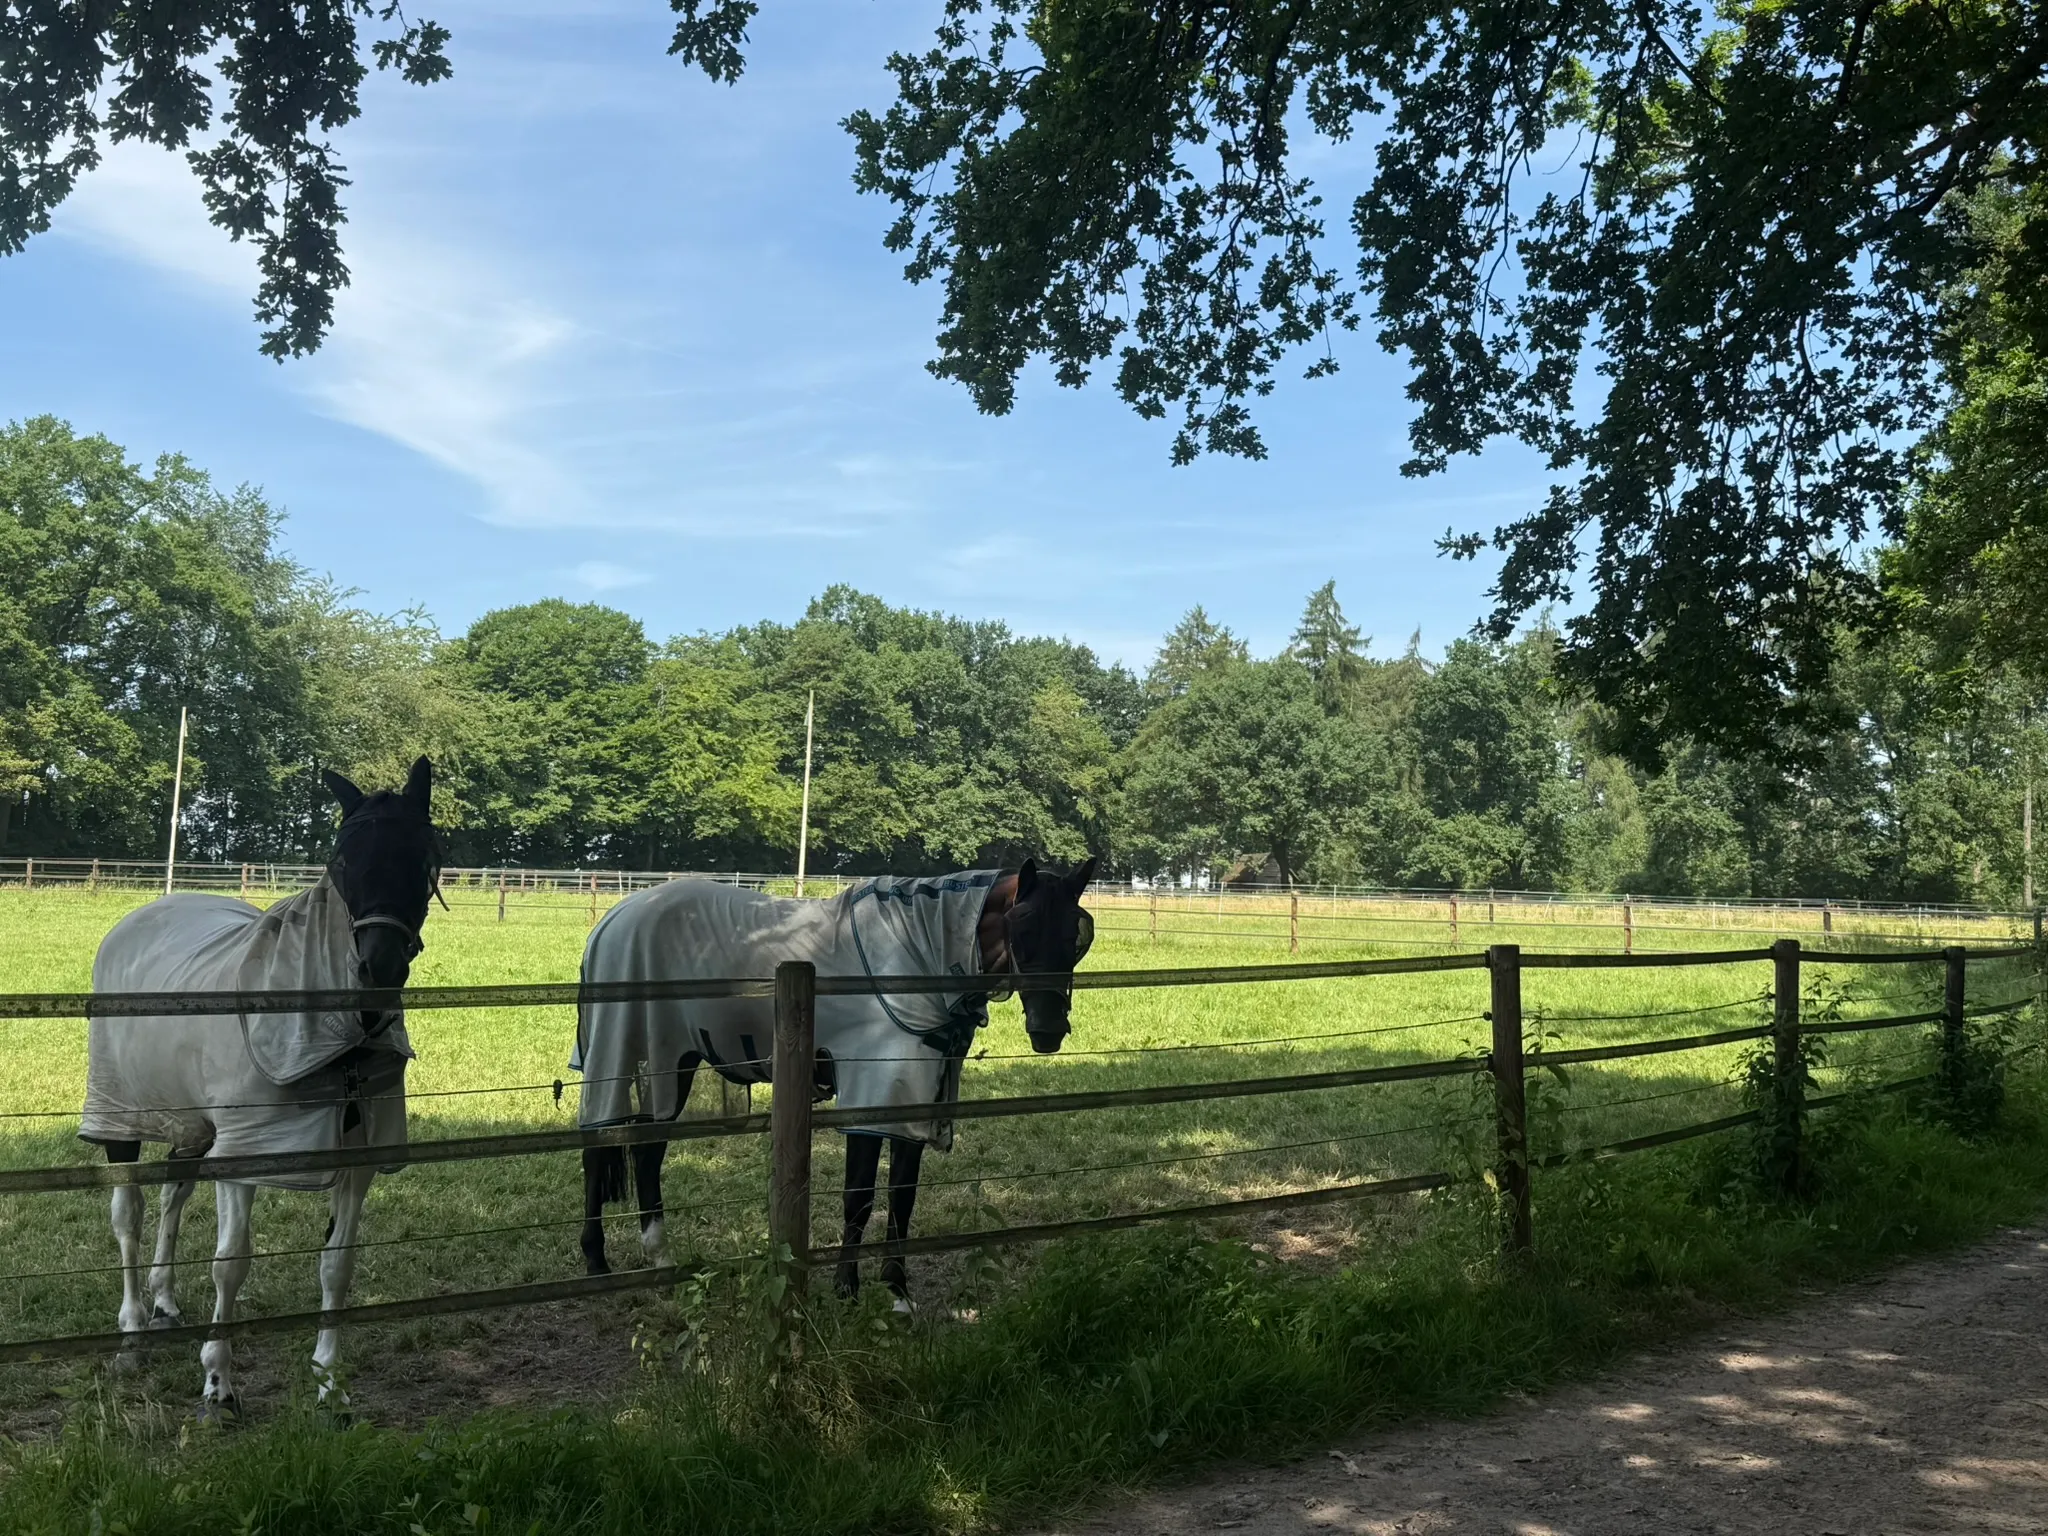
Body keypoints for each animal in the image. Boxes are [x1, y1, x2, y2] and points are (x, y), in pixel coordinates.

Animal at [80, 757, 440, 1421]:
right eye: (342, 860)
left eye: (424, 857)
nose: (378, 968)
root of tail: (139, 918)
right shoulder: (246, 1152)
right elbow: (231, 1264)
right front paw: (218, 1385)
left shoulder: (359, 1156)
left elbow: (337, 1264)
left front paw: (330, 1383)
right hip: (122, 1113)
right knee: (129, 1214)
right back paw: (132, 1333)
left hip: (194, 1124)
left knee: (172, 1195)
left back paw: (164, 1302)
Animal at [572, 857, 1095, 1307]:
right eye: (1021, 926)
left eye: (1076, 935)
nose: (1048, 1029)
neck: (917, 951)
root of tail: (612, 921)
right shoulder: (872, 1093)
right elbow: (859, 1197)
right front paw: (847, 1290)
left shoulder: (915, 1101)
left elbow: (902, 1196)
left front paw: (897, 1292)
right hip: (627, 1056)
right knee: (599, 1146)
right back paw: (597, 1262)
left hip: (669, 1066)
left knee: (646, 1149)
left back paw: (660, 1260)